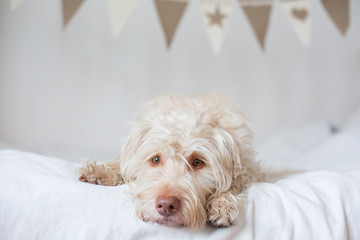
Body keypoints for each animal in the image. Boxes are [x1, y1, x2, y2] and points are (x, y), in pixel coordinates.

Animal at [78, 94, 264, 230]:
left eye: (197, 162)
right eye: (156, 159)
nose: (166, 205)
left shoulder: (249, 168)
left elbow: (235, 181)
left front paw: (223, 204)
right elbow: (122, 162)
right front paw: (100, 171)